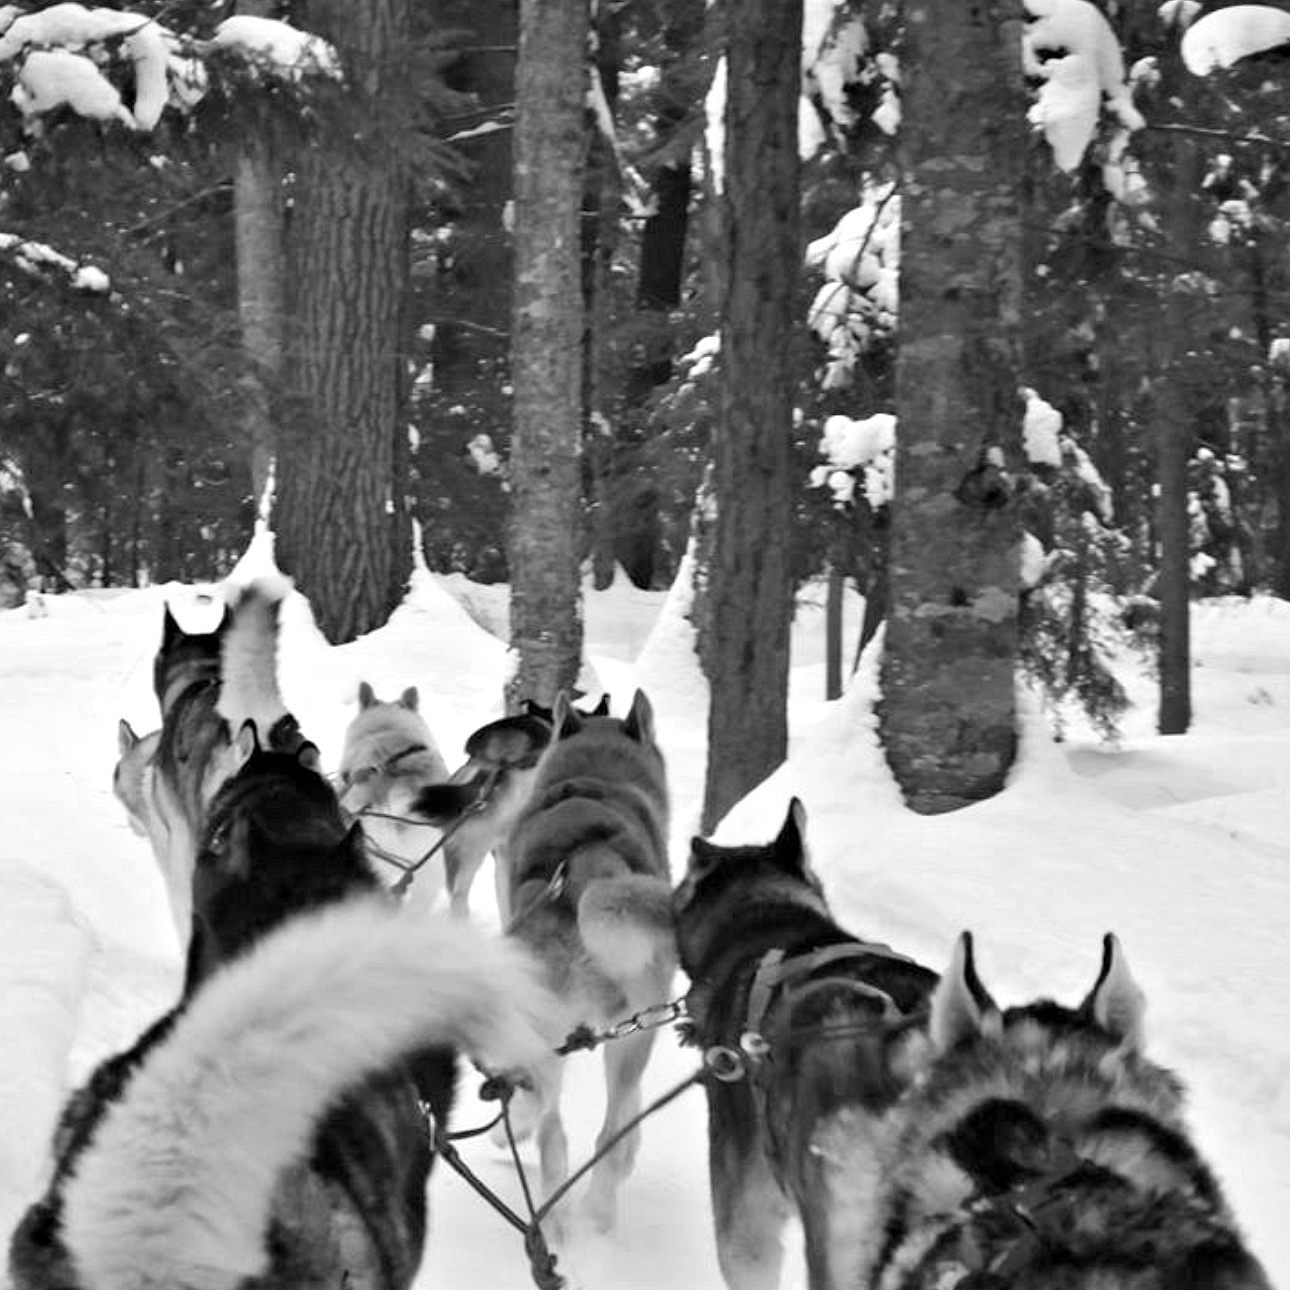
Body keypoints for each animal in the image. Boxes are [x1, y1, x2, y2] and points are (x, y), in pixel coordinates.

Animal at [497, 691, 675, 1233]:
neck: (598, 775)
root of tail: (586, 870)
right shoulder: (638, 1028)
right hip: (633, 1030)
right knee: (603, 1133)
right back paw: (598, 1207)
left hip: (559, 1030)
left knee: (552, 1127)